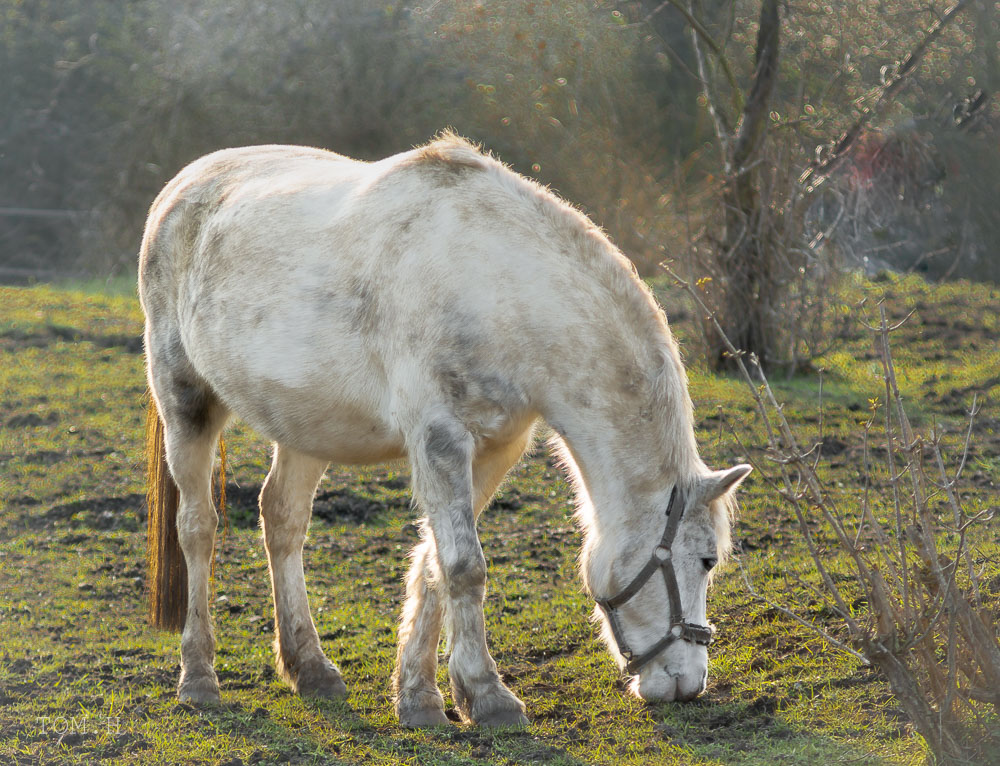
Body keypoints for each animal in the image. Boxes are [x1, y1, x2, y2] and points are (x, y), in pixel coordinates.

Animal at [139, 134, 752, 732]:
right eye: (707, 561)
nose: (688, 683)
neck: (497, 286)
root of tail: (182, 185)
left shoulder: (495, 448)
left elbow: (437, 562)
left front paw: (421, 697)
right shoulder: (438, 440)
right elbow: (463, 566)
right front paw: (488, 696)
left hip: (304, 426)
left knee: (282, 519)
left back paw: (309, 667)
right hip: (185, 401)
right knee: (197, 528)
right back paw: (198, 678)